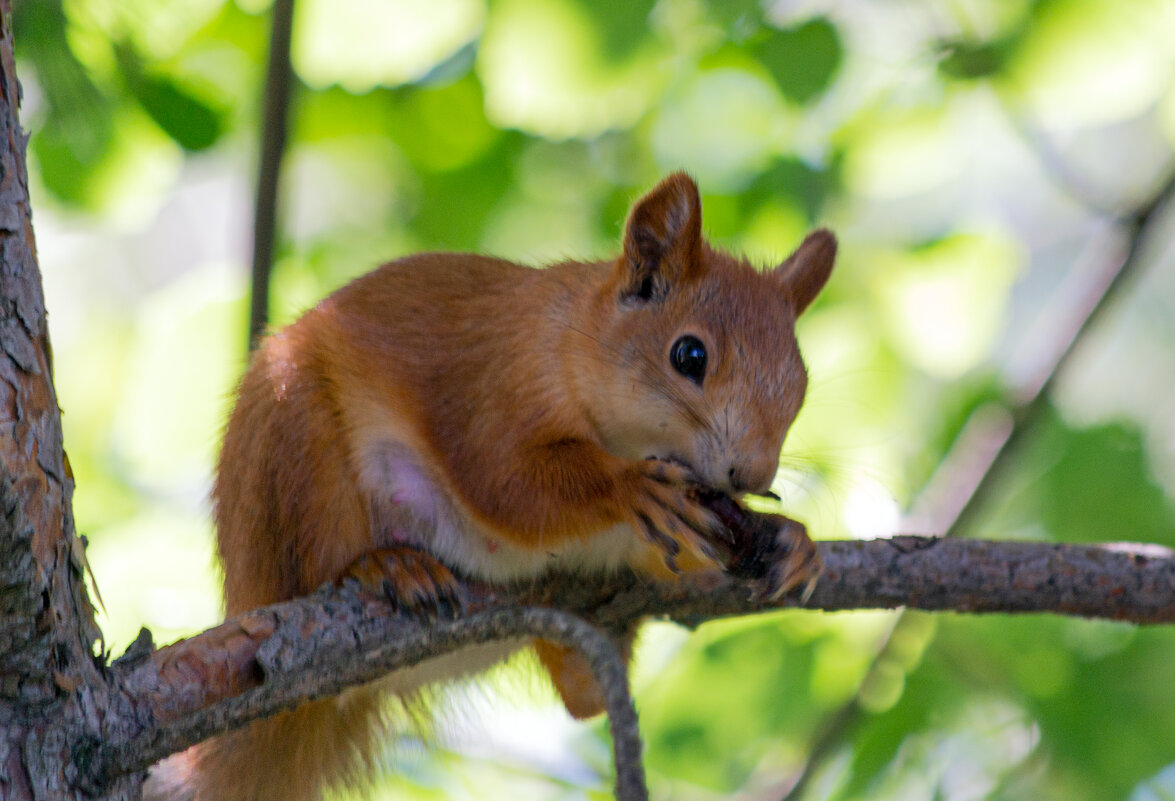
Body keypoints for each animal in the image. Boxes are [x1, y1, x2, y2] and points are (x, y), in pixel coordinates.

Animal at [171, 171, 836, 798]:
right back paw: (385, 565)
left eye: (803, 384)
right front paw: (631, 486)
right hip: (294, 440)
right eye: (689, 356)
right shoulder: (494, 389)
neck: (574, 339)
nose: (753, 476)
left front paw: (790, 538)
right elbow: (507, 482)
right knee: (314, 563)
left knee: (583, 696)